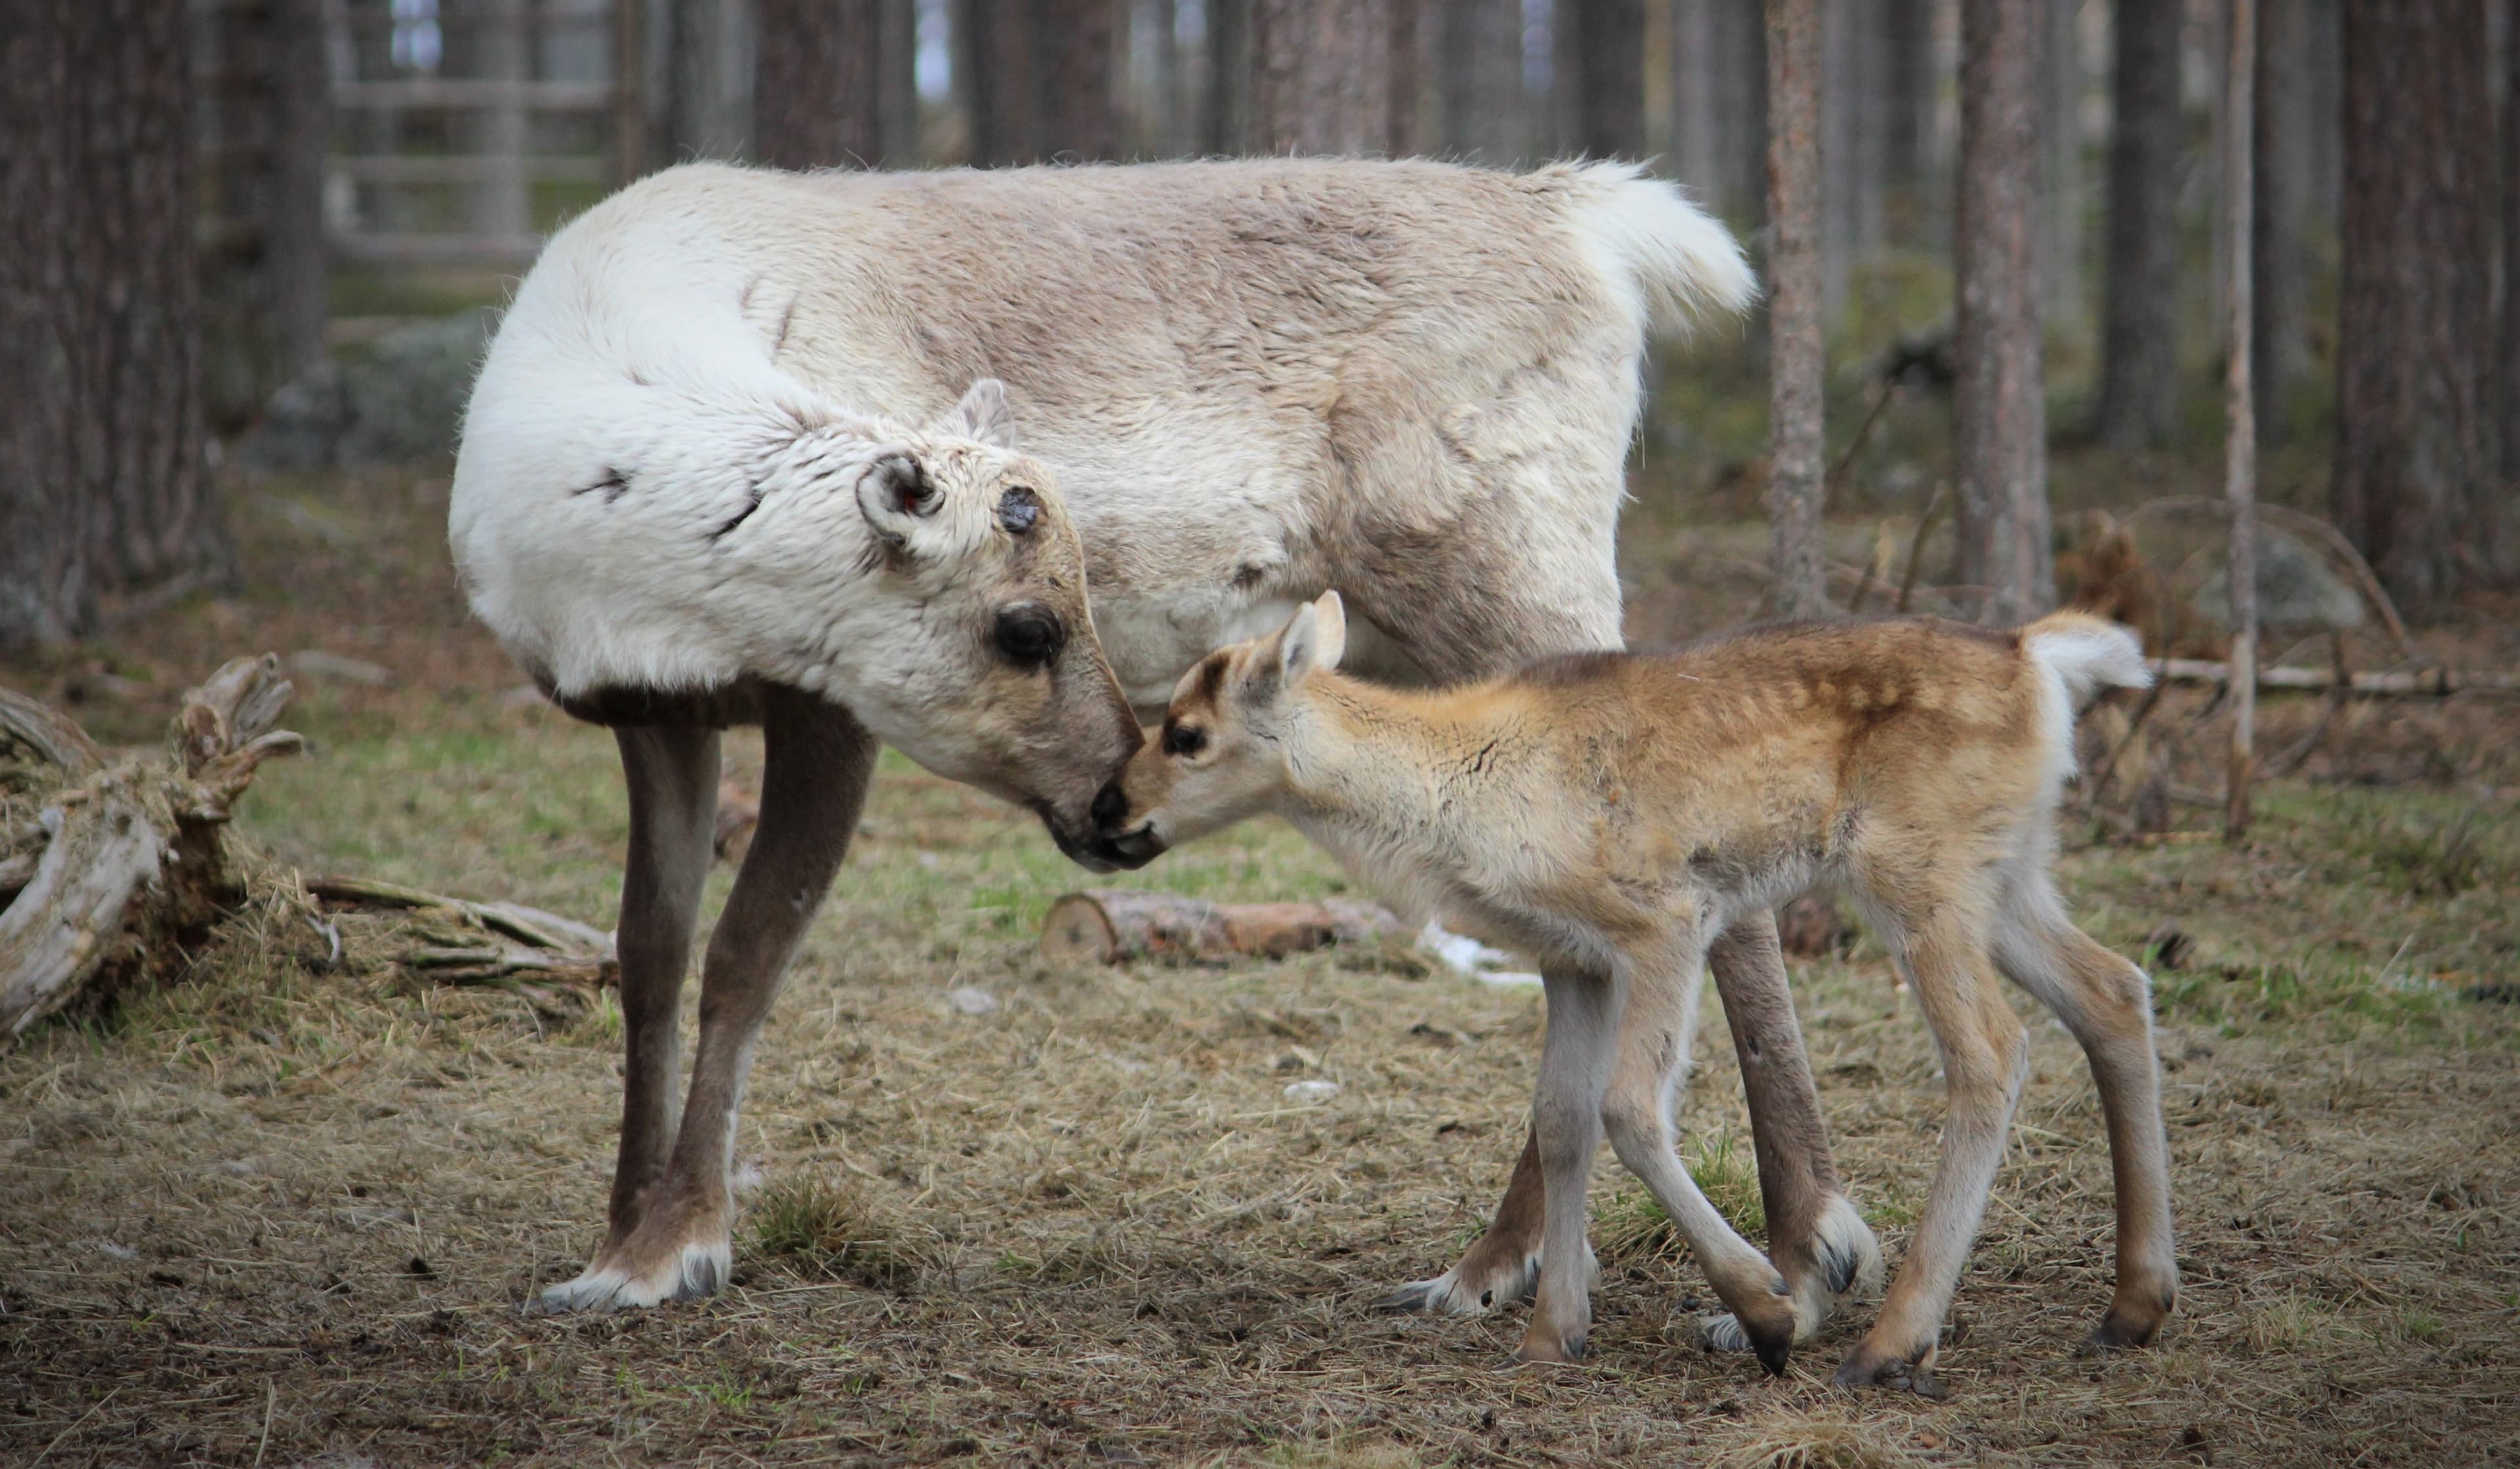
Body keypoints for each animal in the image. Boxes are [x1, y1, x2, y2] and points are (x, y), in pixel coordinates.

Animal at [450, 155, 1876, 1343]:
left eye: (1079, 595)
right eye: (1028, 623)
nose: (1106, 796)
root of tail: (1589, 218)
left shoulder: (826, 710)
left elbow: (747, 960)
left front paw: (681, 1246)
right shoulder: (656, 715)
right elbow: (649, 951)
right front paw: (615, 1238)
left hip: (1524, 583)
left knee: (1709, 884)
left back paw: (1805, 1256)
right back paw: (1496, 1268)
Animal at [1083, 593, 2179, 1391]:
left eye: (1186, 733)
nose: (1104, 808)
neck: (1457, 793)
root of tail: (2039, 658)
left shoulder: (1664, 922)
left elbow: (1630, 1108)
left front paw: (1765, 1309)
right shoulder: (1575, 960)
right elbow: (1562, 1119)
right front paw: (1552, 1334)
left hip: (1921, 878)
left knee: (1993, 1049)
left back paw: (1893, 1341)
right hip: (2011, 877)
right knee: (2115, 988)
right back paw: (2133, 1304)